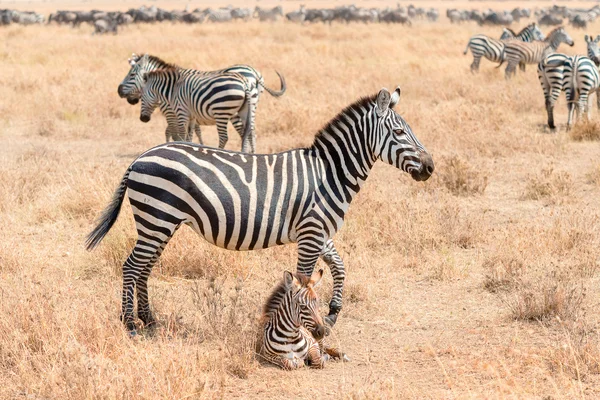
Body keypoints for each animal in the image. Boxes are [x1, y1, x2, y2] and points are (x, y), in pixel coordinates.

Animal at [84, 86, 434, 334]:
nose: (430, 167)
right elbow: (304, 281)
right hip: (157, 218)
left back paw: (150, 320)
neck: (328, 173)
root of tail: (140, 157)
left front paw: (333, 313)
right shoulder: (311, 233)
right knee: (132, 266)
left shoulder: (320, 232)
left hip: (160, 222)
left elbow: (339, 266)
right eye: (399, 133)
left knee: (144, 267)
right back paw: (130, 324)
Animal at [118, 54, 288, 151]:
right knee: (250, 132)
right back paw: (251, 154)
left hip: (226, 112)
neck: (170, 87)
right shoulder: (191, 114)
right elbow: (192, 133)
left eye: (131, 74)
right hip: (250, 108)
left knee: (234, 134)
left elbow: (174, 134)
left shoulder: (174, 113)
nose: (119, 91)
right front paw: (197, 147)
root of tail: (254, 74)